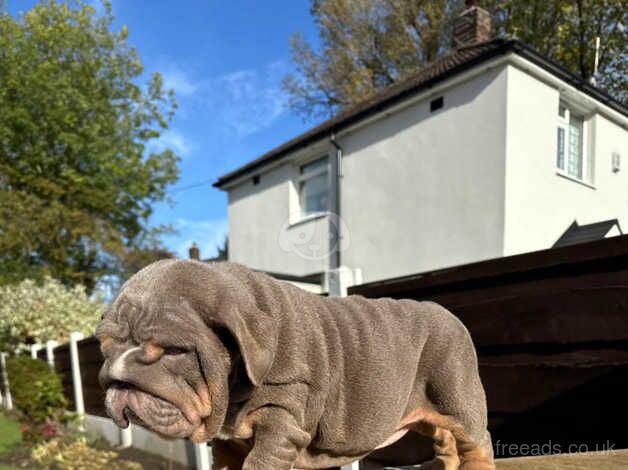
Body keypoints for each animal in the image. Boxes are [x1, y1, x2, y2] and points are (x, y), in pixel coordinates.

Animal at [95, 258, 494, 468]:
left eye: (174, 352)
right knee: (445, 441)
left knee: (477, 441)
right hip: (426, 412)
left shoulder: (282, 420)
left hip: (456, 392)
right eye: (104, 346)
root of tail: (450, 315)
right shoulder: (226, 444)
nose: (116, 378)